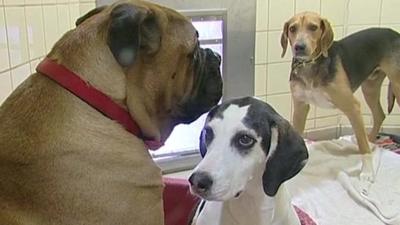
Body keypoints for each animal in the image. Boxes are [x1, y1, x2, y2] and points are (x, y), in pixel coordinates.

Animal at [280, 11, 400, 183]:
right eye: (292, 28)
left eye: (313, 27)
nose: (299, 47)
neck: (311, 65)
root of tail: (395, 34)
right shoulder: (300, 107)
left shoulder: (353, 107)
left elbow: (363, 147)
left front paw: (367, 172)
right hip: (370, 88)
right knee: (379, 115)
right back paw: (371, 141)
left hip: (396, 85)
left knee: (368, 130)